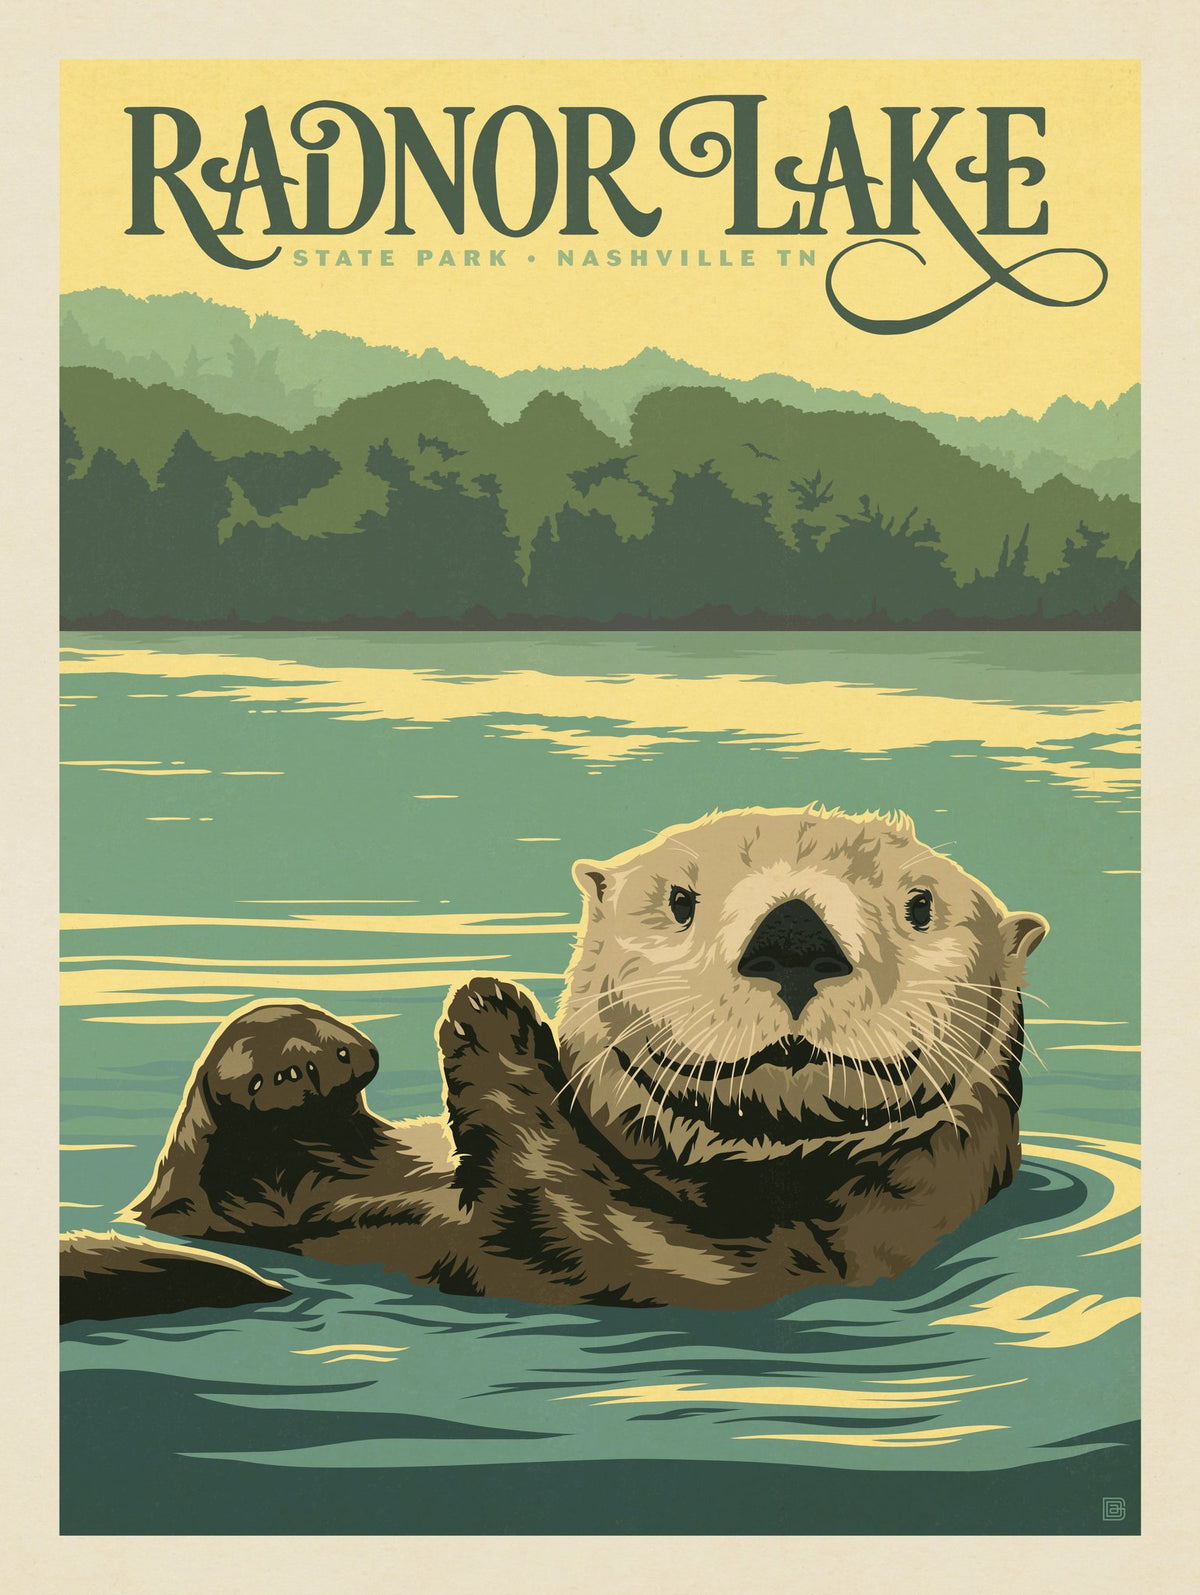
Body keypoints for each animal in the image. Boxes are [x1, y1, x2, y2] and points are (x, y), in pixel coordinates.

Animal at [63, 807, 1047, 1317]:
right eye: (680, 899)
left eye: (920, 906)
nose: (794, 937)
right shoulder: (209, 1208)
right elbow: (195, 1192)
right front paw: (297, 1052)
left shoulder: (831, 1247)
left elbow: (572, 1225)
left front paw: (491, 1013)